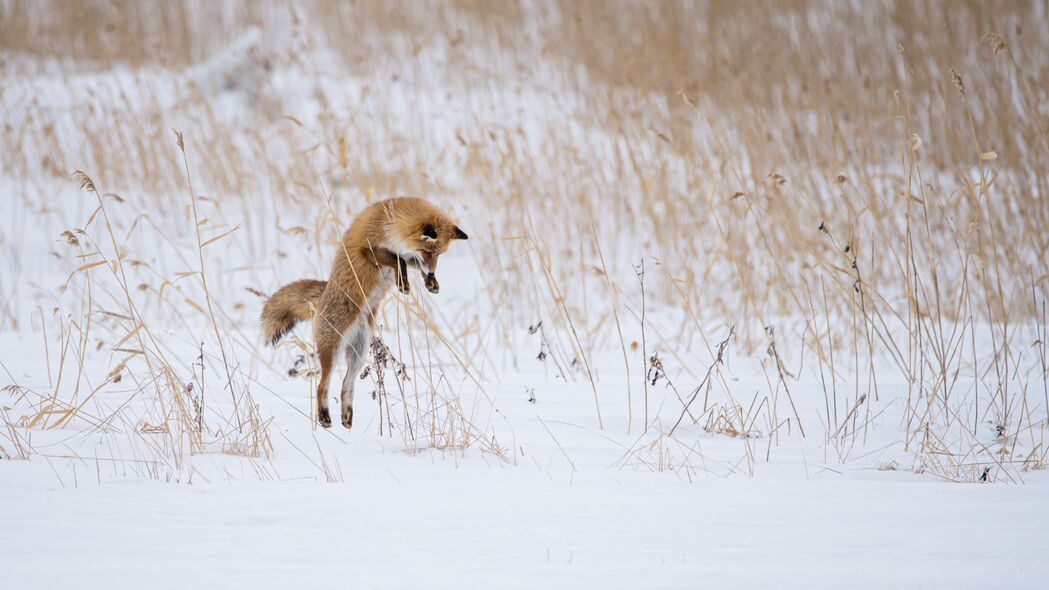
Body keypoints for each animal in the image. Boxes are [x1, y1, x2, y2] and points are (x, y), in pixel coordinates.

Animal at [258, 197, 467, 426]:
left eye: (439, 254)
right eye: (429, 252)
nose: (431, 272)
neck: (391, 222)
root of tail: (322, 297)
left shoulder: (405, 252)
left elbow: (409, 262)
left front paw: (430, 282)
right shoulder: (368, 248)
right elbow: (400, 261)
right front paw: (404, 283)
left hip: (359, 352)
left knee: (346, 385)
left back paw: (347, 418)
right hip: (333, 350)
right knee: (322, 385)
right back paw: (324, 417)